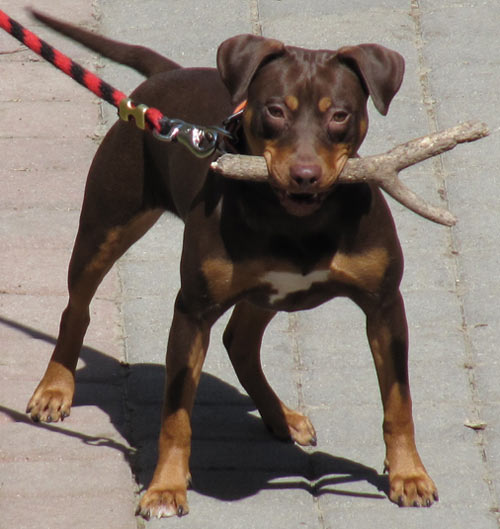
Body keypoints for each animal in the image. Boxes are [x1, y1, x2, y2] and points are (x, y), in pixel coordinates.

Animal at [25, 10, 438, 516]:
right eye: (276, 110)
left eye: (339, 114)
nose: (304, 175)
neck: (295, 220)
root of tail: (165, 78)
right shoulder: (192, 311)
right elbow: (176, 413)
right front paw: (165, 488)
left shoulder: (384, 305)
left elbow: (399, 401)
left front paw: (409, 475)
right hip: (106, 227)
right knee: (77, 308)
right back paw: (55, 389)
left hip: (269, 293)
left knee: (240, 340)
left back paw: (282, 416)